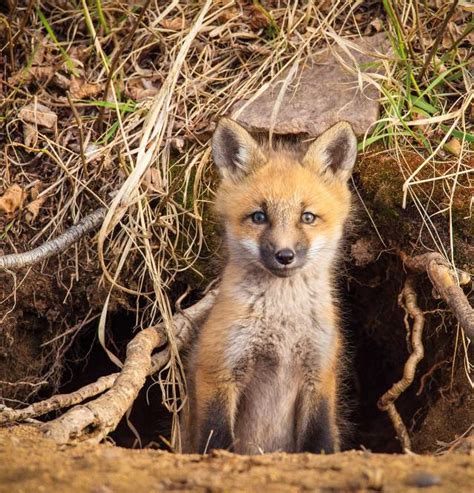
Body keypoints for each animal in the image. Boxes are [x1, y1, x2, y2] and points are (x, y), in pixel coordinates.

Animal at [183, 116, 358, 454]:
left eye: (307, 217)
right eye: (259, 217)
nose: (285, 255)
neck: (283, 328)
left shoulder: (320, 374)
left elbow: (320, 438)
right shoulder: (218, 370)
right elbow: (215, 436)